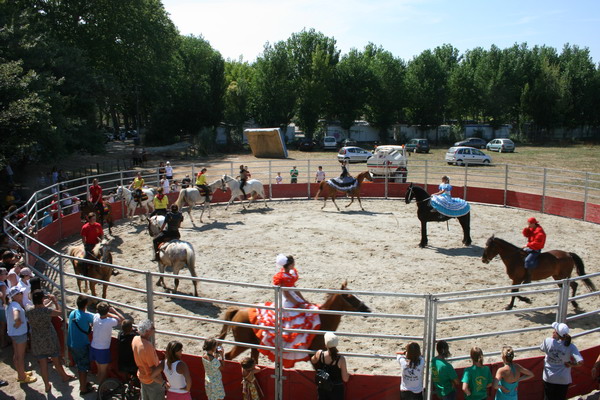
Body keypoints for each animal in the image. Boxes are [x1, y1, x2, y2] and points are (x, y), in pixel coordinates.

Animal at [218, 282, 370, 362]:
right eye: (350, 297)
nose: (367, 309)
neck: (322, 319)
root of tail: (238, 310)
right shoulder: (313, 352)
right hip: (242, 344)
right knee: (228, 356)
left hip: (254, 346)